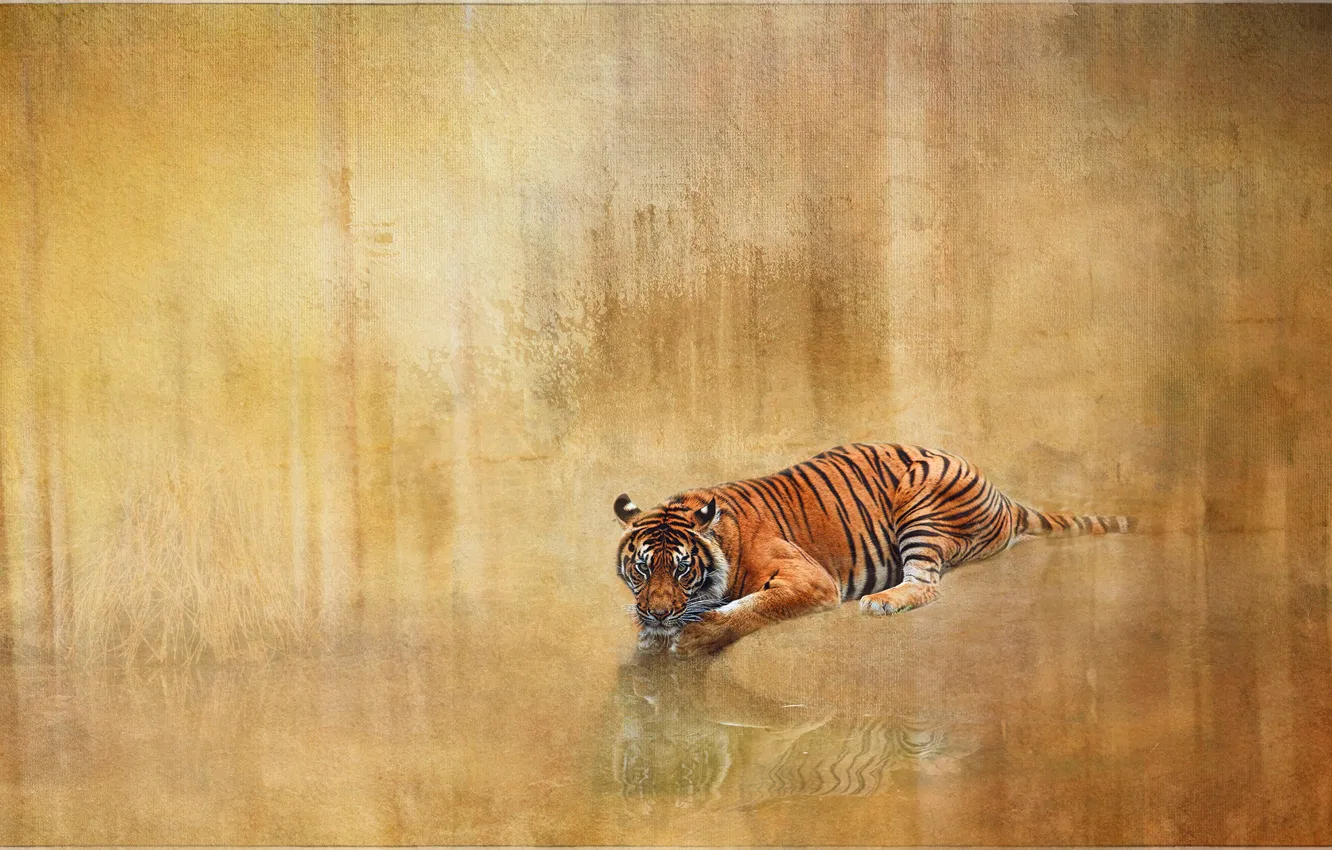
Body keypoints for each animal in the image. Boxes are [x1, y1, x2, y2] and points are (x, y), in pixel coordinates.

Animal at [614, 442, 1134, 657]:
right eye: (641, 569)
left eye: (683, 570)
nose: (657, 614)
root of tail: (1002, 495)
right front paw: (653, 633)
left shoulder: (811, 580)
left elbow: (753, 607)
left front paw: (693, 636)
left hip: (920, 506)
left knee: (926, 584)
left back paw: (882, 601)